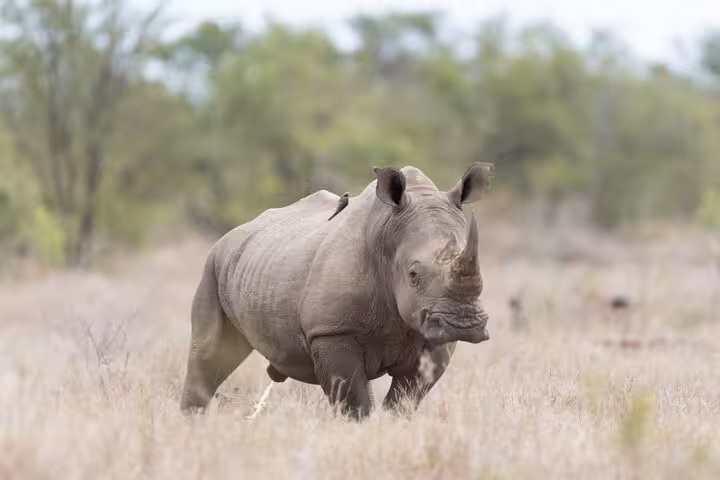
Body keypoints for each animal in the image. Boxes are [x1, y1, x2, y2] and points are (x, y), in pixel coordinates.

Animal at [181, 163, 494, 419]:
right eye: (413, 275)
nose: (463, 325)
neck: (386, 233)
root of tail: (232, 234)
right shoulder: (331, 331)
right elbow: (354, 402)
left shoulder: (432, 336)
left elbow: (404, 400)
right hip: (213, 263)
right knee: (209, 354)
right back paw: (192, 425)